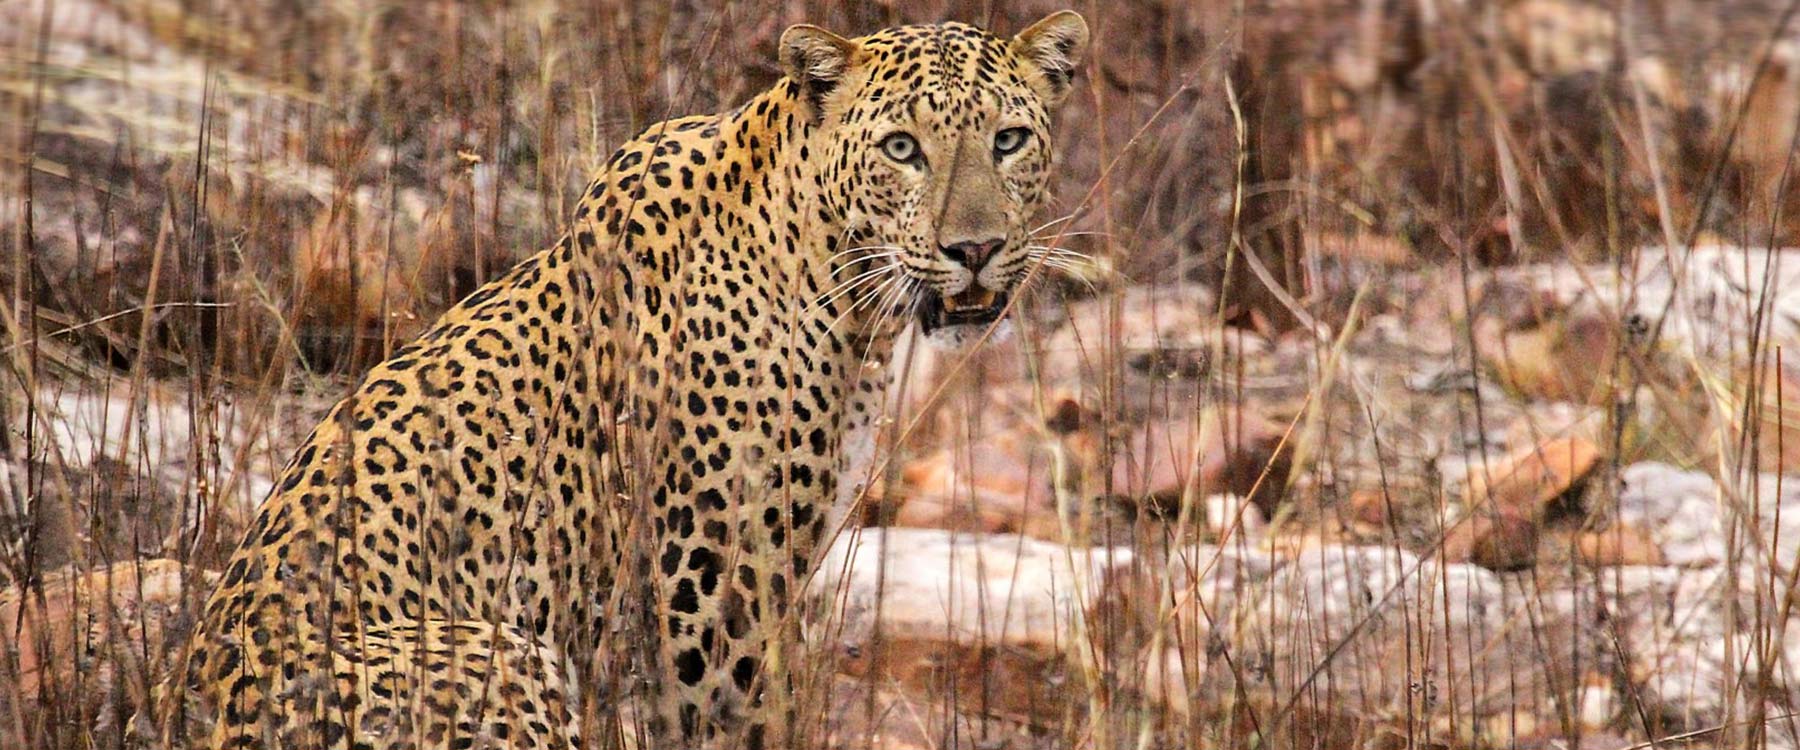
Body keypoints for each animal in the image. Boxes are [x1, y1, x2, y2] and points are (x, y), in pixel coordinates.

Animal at [175, 13, 1087, 748]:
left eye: (1008, 140)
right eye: (903, 148)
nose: (975, 248)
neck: (847, 294)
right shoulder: (712, 595)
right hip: (501, 652)